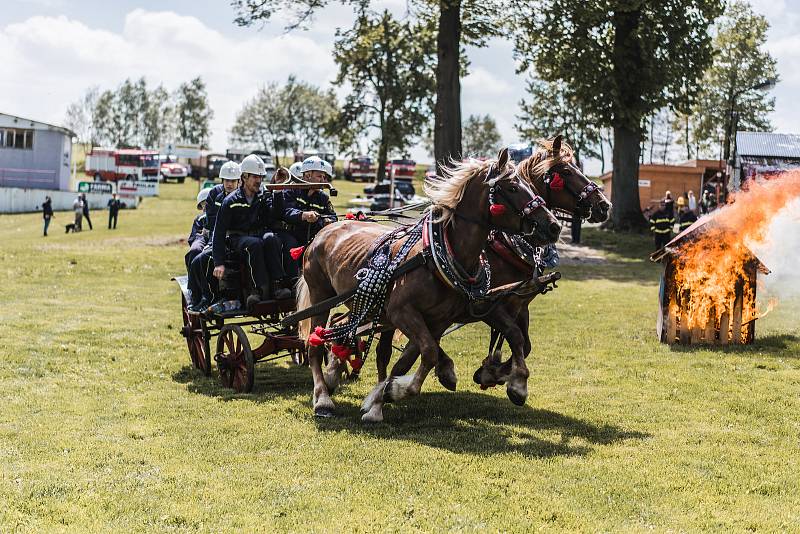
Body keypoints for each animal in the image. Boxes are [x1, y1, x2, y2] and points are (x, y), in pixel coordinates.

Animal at [296, 149, 564, 420]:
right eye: (512, 187)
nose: (553, 225)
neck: (436, 257)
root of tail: (326, 228)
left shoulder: (445, 318)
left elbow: (417, 356)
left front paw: (382, 397)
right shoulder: (403, 312)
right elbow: (427, 352)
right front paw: (393, 392)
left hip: (367, 307)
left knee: (344, 330)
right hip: (322, 296)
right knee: (314, 344)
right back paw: (323, 398)